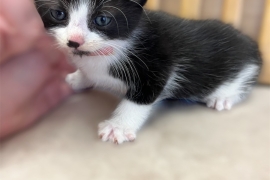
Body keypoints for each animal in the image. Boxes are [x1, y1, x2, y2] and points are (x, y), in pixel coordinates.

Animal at [34, 0, 262, 143]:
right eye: (58, 13)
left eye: (102, 19)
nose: (74, 41)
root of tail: (253, 46)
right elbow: (87, 72)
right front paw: (77, 78)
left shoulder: (159, 60)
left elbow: (142, 96)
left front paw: (119, 126)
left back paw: (223, 97)